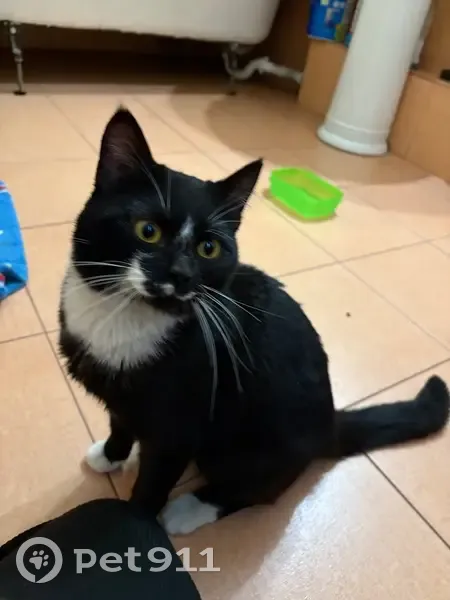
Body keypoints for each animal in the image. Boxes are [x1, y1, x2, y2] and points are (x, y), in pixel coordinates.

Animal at [59, 108, 450, 536]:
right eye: (148, 230)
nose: (181, 274)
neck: (124, 316)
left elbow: (152, 484)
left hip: (254, 443)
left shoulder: (178, 426)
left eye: (208, 248)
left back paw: (192, 508)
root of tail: (329, 424)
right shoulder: (121, 399)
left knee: (259, 488)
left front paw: (136, 527)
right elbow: (119, 421)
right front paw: (111, 454)